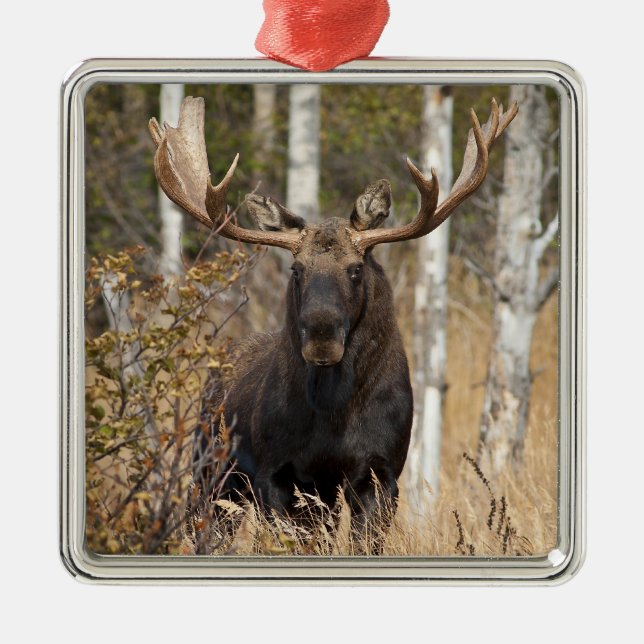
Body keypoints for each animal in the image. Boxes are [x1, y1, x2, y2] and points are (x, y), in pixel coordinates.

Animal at [148, 95, 517, 553]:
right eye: (296, 269)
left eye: (356, 269)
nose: (322, 338)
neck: (333, 416)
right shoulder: (277, 473)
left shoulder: (381, 472)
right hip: (211, 474)